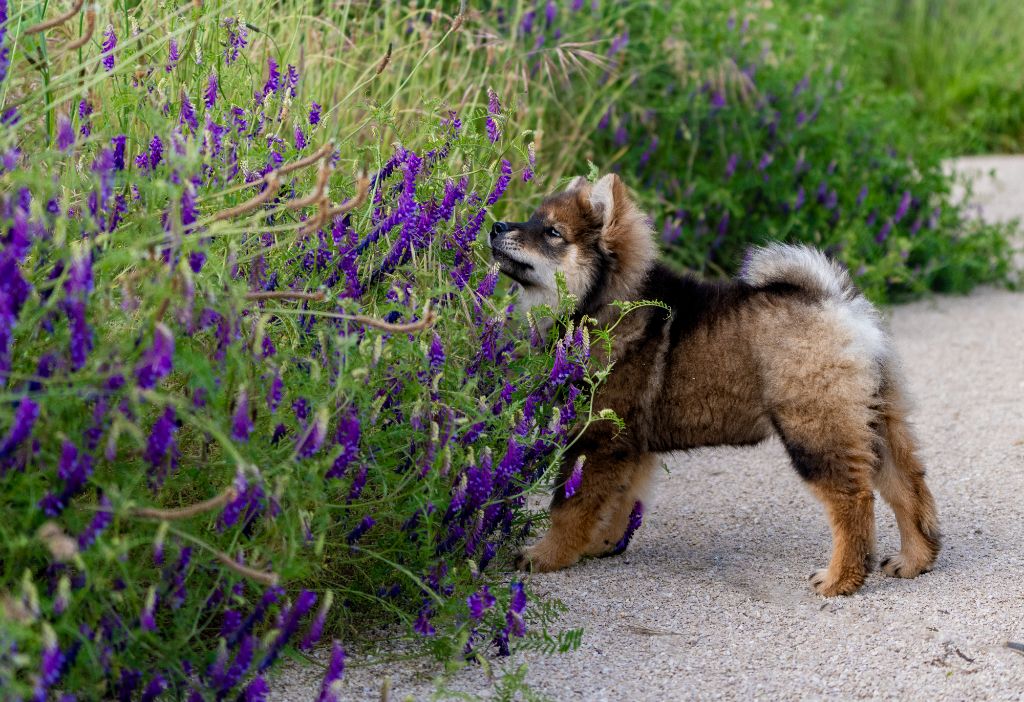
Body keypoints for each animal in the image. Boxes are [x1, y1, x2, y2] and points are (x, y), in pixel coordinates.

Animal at [491, 172, 937, 597]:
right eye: (532, 219)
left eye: (552, 232)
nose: (495, 226)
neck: (607, 302)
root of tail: (838, 306)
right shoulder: (631, 446)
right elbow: (621, 498)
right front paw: (603, 542)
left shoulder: (597, 438)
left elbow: (567, 507)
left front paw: (546, 555)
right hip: (875, 418)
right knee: (907, 486)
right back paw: (914, 559)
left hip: (814, 429)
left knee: (853, 500)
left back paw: (839, 579)